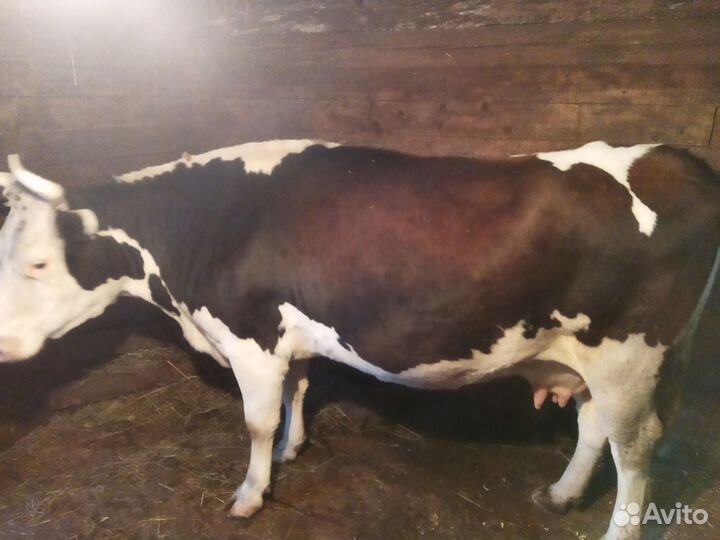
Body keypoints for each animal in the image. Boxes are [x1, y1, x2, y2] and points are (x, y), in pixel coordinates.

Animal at [0, 140, 718, 540]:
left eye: (37, 262)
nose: (4, 343)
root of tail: (677, 160)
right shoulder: (291, 334)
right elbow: (299, 390)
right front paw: (293, 449)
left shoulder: (250, 337)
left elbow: (257, 420)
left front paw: (250, 495)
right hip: (593, 361)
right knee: (595, 428)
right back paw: (564, 494)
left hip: (631, 355)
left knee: (636, 451)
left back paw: (617, 531)